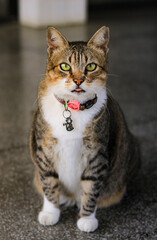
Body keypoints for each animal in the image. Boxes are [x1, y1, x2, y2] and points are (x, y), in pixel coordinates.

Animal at [29, 25, 140, 232]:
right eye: (65, 66)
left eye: (91, 66)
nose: (79, 80)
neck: (73, 108)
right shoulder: (43, 152)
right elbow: (49, 184)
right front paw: (50, 213)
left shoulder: (97, 155)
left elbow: (91, 188)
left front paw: (87, 219)